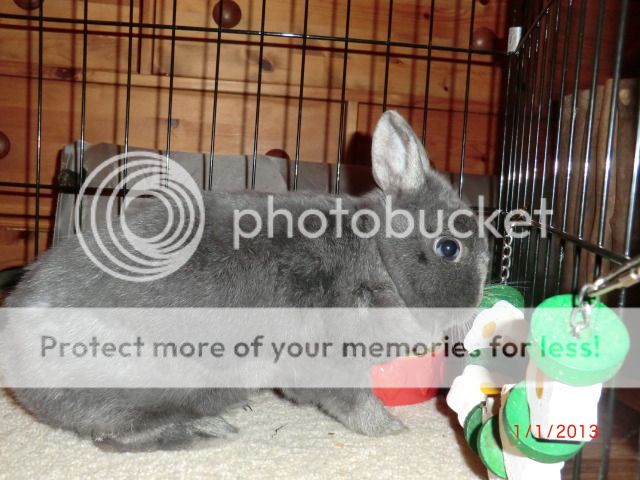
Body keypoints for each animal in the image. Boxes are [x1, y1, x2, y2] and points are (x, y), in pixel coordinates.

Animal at [5, 110, 488, 452]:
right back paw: (205, 429)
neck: (380, 260)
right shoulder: (331, 359)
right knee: (113, 434)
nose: (475, 306)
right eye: (449, 248)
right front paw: (391, 429)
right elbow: (352, 402)